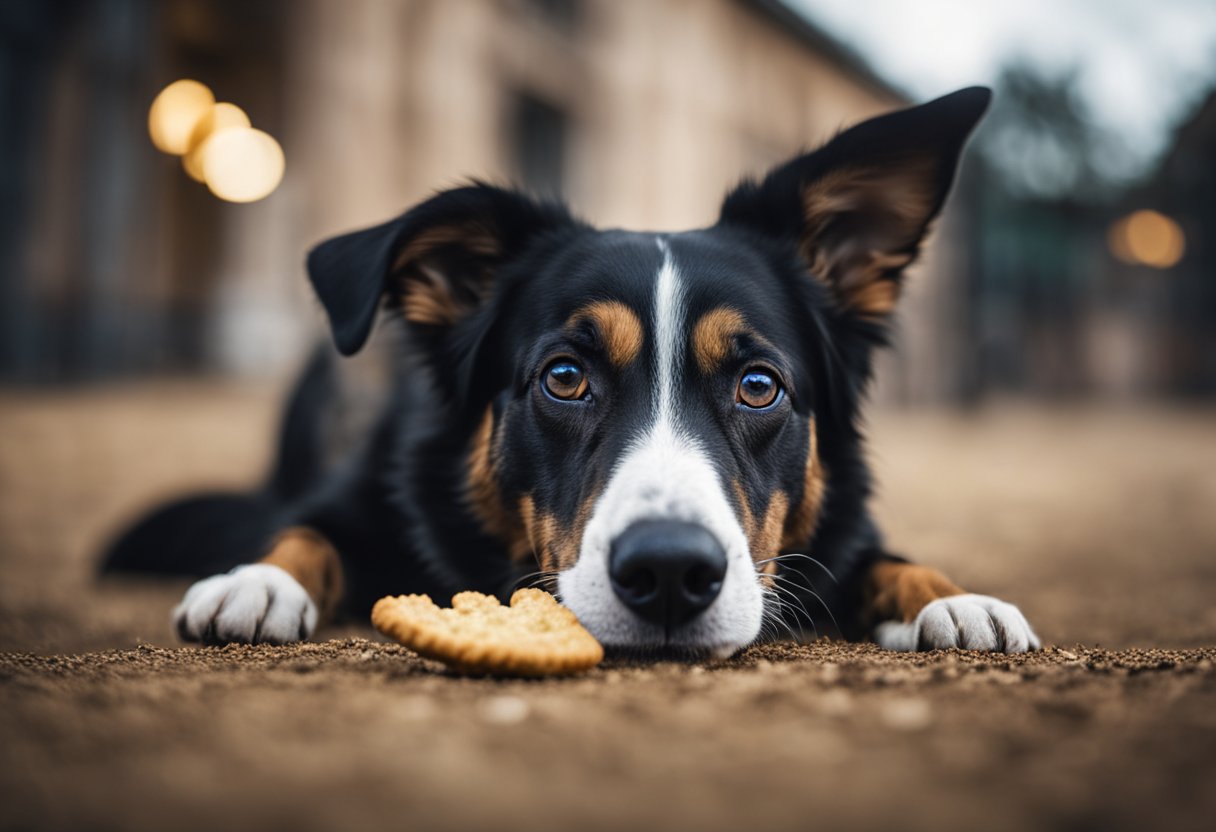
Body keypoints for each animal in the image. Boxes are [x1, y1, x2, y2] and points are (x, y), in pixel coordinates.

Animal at [99, 89, 1040, 656]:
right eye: (563, 377)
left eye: (759, 386)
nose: (671, 573)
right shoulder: (365, 492)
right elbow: (307, 532)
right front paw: (255, 582)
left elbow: (885, 558)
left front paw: (951, 600)